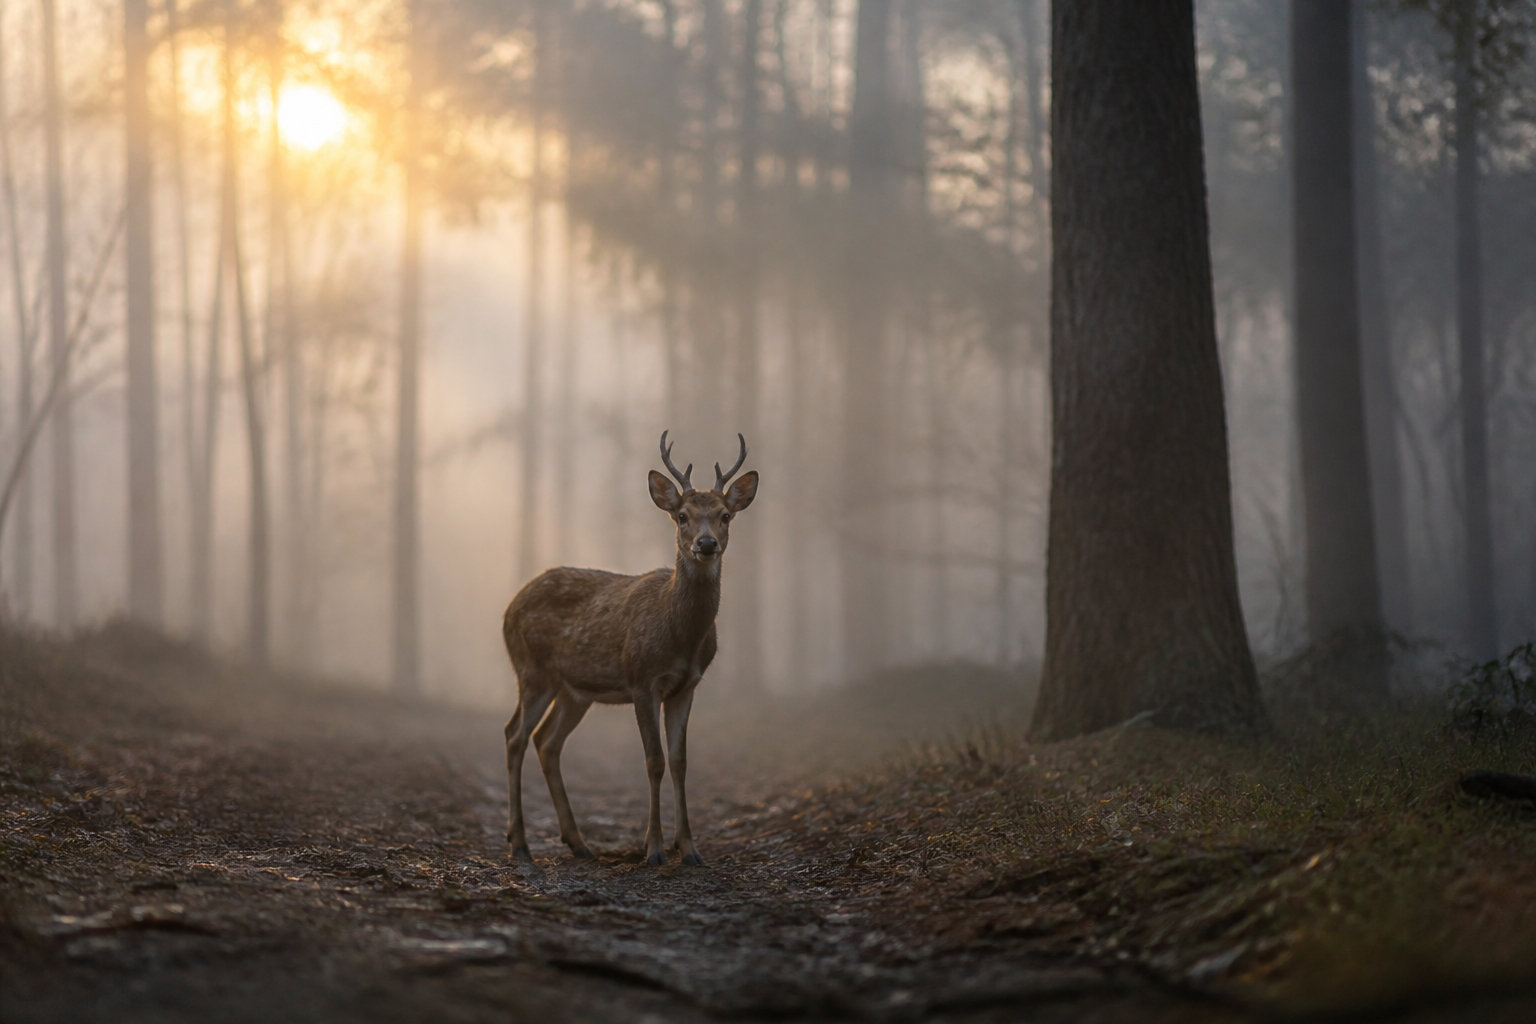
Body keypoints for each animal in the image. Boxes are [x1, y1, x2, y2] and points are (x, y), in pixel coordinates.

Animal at [501, 431, 758, 866]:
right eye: (682, 515)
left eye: (725, 515)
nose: (706, 544)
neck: (681, 637)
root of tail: (508, 608)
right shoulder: (641, 679)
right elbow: (653, 761)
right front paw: (653, 849)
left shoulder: (687, 686)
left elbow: (680, 761)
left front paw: (689, 848)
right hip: (531, 670)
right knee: (515, 735)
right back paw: (519, 843)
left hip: (573, 691)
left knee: (546, 741)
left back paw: (578, 842)